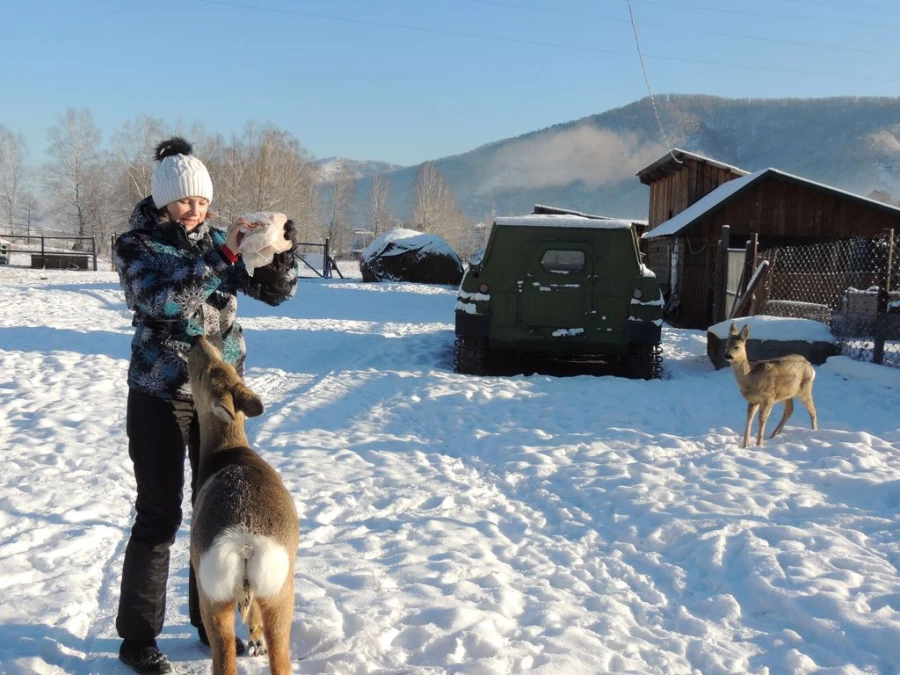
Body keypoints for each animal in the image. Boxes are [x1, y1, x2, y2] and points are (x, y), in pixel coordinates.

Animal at [188, 338, 300, 675]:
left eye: (204, 374)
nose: (197, 339)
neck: (230, 450)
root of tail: (244, 543)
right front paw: (255, 642)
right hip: (277, 592)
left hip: (212, 597)